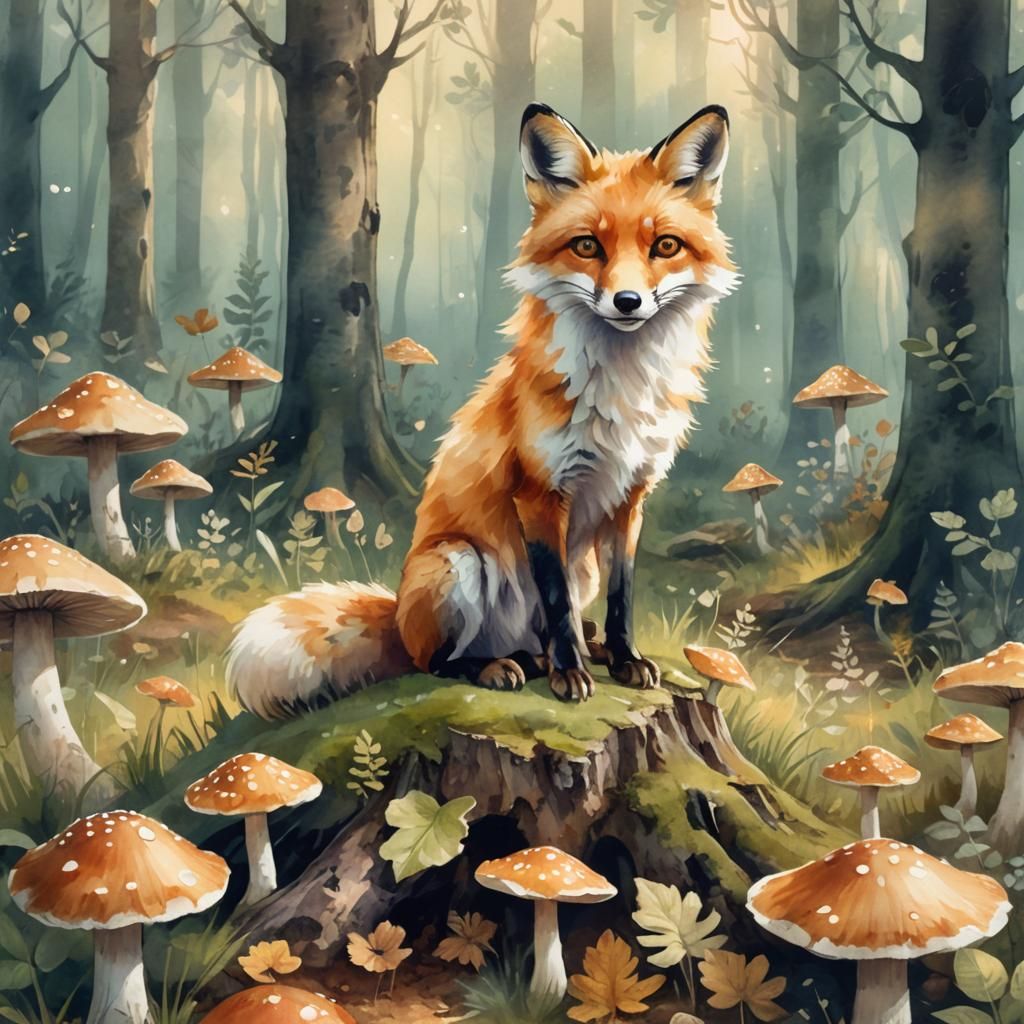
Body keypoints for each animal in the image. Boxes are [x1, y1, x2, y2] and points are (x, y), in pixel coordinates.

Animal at [228, 103, 738, 719]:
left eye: (664, 246)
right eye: (587, 247)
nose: (627, 303)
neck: (621, 392)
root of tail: (398, 615)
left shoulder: (630, 496)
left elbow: (622, 597)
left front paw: (624, 660)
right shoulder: (539, 492)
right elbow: (555, 602)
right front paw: (571, 675)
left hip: (576, 568)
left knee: (544, 632)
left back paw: (555, 656)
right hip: (459, 564)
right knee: (437, 662)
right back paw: (503, 667)